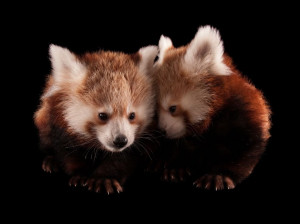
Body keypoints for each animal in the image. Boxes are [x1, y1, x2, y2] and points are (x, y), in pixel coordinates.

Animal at [34, 44, 158, 193]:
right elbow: (67, 151)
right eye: (102, 116)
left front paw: (104, 177)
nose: (121, 140)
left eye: (132, 115)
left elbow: (124, 156)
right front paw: (80, 175)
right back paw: (51, 160)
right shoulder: (59, 120)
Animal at [152, 26, 272, 190]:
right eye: (156, 112)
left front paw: (219, 175)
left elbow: (245, 148)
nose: (163, 131)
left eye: (172, 108)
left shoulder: (245, 113)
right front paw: (175, 167)